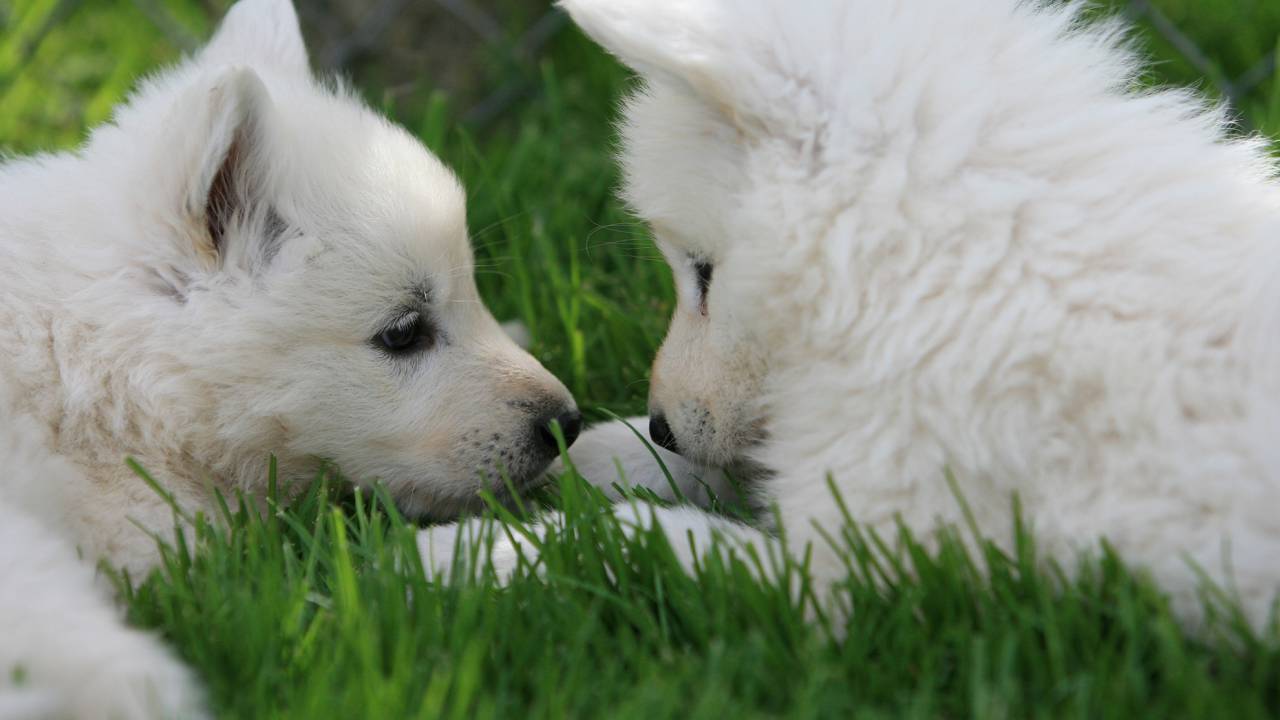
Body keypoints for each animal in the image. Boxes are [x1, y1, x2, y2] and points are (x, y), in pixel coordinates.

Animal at [427, 0, 1280, 627]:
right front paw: (567, 460)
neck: (943, 261)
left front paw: (442, 559)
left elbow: (628, 539)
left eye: (703, 272)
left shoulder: (845, 567)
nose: (665, 422)